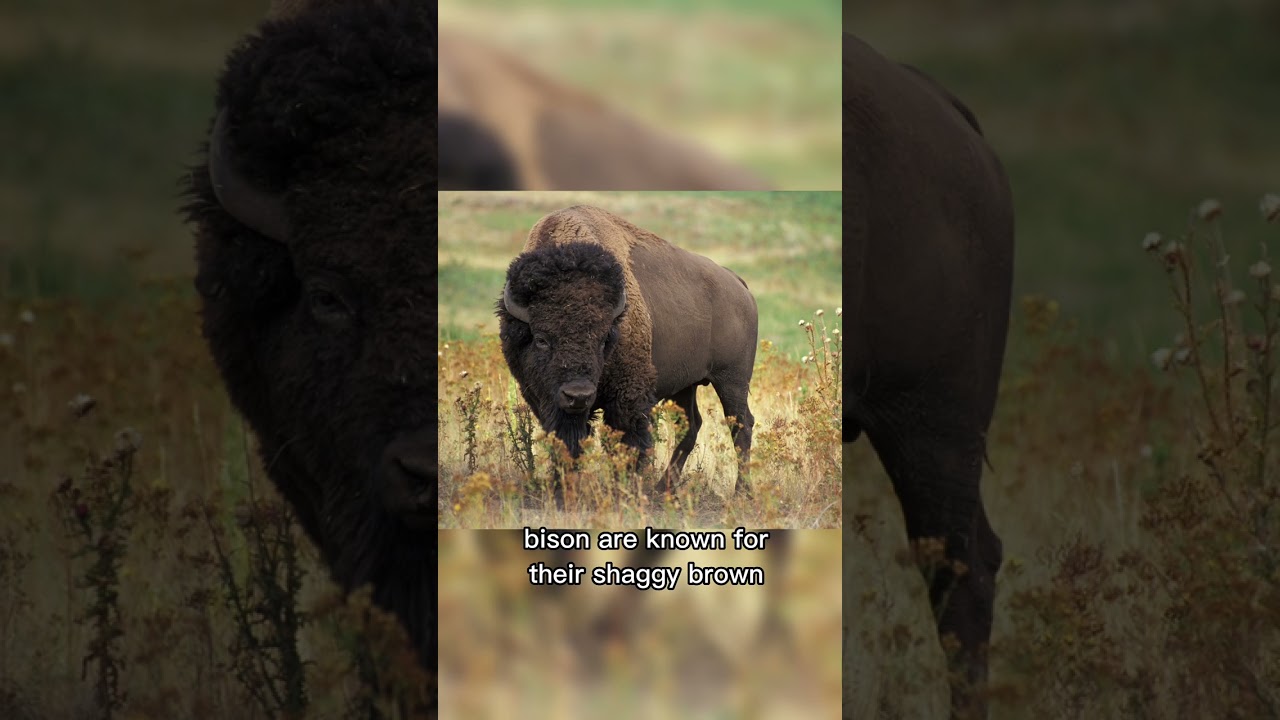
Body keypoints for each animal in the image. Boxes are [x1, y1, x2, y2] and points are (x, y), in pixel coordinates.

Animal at [497, 205, 758, 496]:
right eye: (541, 339)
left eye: (603, 340)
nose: (578, 395)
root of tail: (737, 284)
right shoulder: (543, 399)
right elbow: (566, 443)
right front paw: (563, 489)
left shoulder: (627, 397)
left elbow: (627, 444)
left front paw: (625, 489)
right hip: (685, 385)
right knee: (691, 426)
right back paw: (662, 489)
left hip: (732, 380)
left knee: (741, 425)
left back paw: (740, 492)